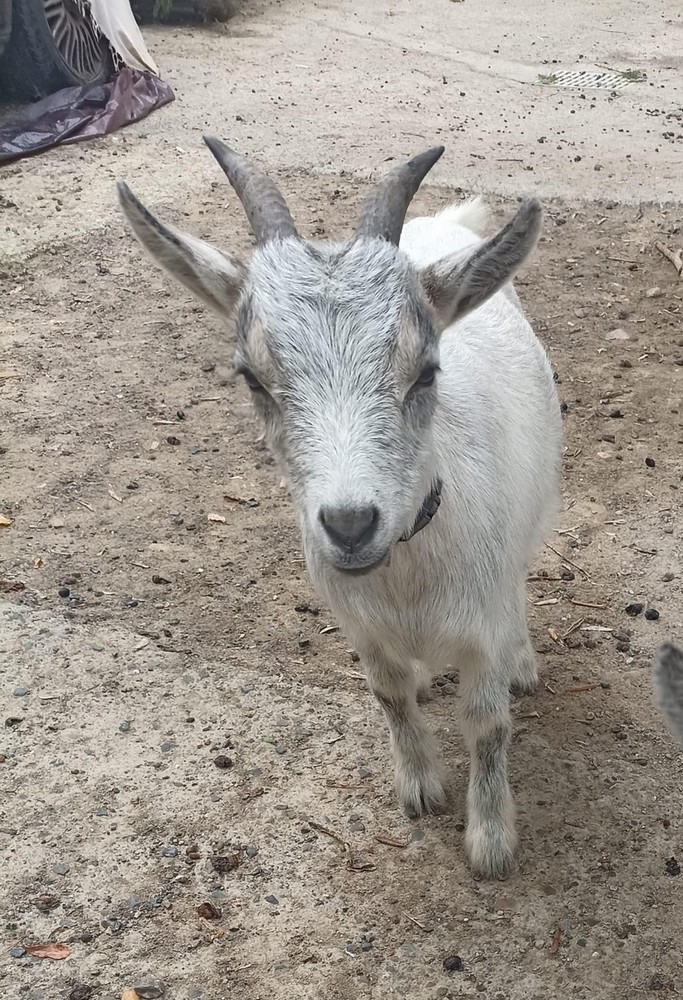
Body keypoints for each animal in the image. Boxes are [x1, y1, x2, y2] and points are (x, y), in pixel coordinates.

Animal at [117, 141, 563, 878]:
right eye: (252, 378)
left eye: (426, 372)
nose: (350, 525)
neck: (408, 576)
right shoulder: (361, 628)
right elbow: (389, 695)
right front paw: (419, 787)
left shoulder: (481, 625)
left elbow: (487, 725)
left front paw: (491, 842)